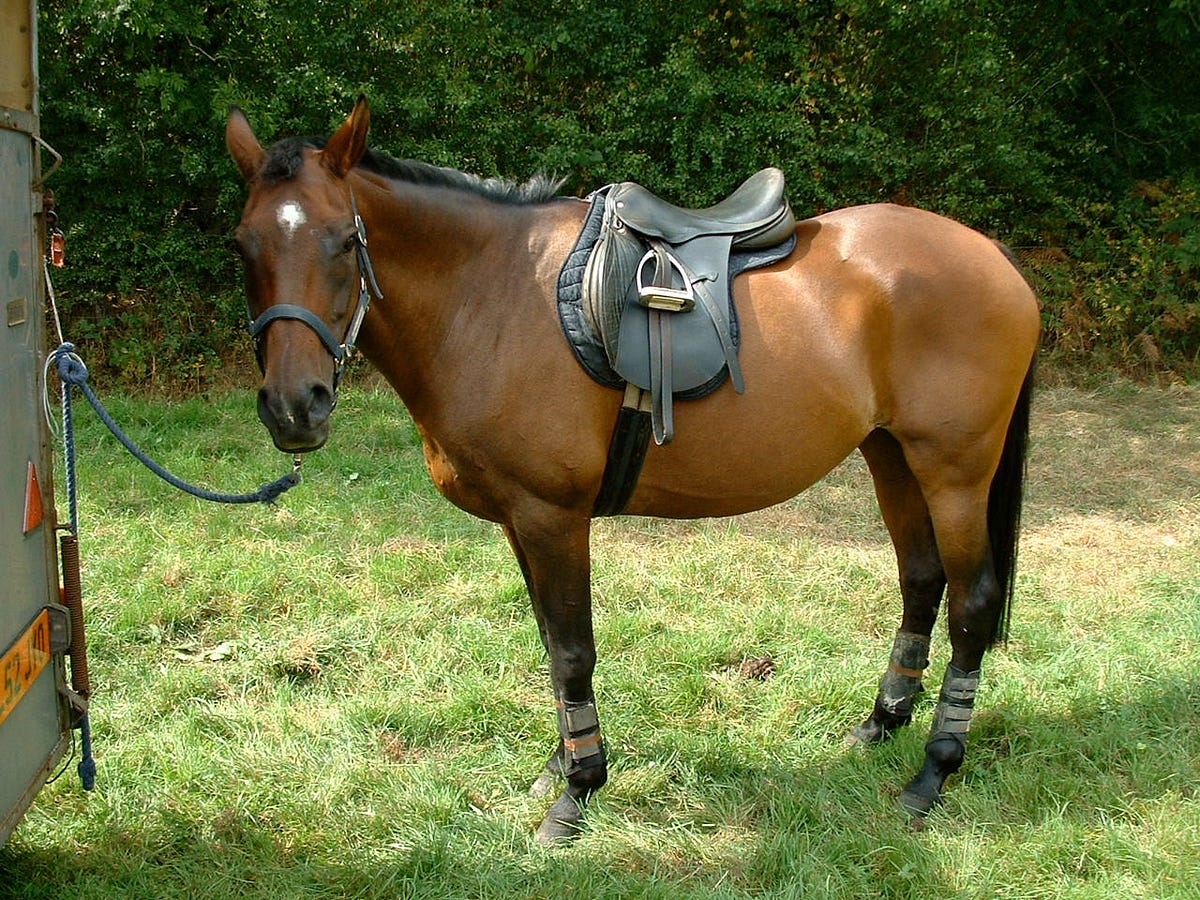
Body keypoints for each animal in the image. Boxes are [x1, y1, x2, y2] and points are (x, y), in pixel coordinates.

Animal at [226, 97, 1040, 841]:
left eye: (342, 241)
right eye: (243, 246)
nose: (294, 406)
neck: (489, 295)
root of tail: (994, 256)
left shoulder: (551, 514)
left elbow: (573, 649)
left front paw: (577, 791)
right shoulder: (521, 519)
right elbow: (551, 641)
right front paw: (561, 763)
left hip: (954, 470)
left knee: (971, 603)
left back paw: (933, 770)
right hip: (891, 454)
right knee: (922, 579)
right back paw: (882, 722)